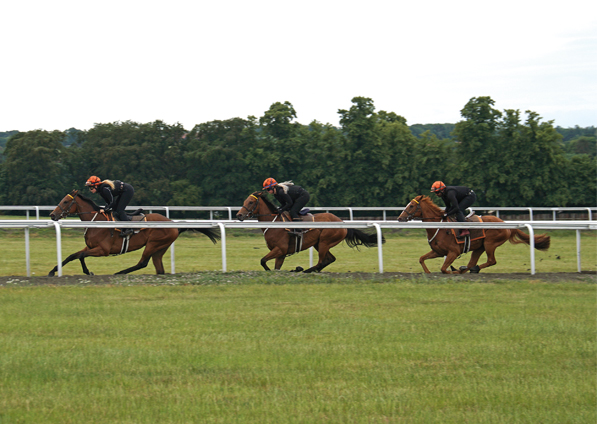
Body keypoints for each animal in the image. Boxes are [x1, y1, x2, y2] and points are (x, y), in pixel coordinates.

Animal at [46, 190, 219, 276]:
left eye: (65, 201)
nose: (52, 215)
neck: (96, 222)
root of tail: (173, 224)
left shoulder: (103, 250)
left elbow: (81, 256)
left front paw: (88, 272)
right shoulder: (90, 247)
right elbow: (72, 256)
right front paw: (52, 271)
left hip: (153, 243)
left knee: (142, 263)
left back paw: (119, 272)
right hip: (161, 247)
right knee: (159, 269)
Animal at [235, 191, 384, 274]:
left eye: (250, 202)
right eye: (244, 201)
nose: (239, 215)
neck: (274, 223)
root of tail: (343, 224)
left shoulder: (280, 248)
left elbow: (262, 260)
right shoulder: (281, 253)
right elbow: (274, 266)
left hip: (324, 241)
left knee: (321, 261)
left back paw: (303, 270)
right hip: (319, 244)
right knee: (329, 259)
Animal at [396, 194, 548, 274]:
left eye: (411, 206)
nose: (399, 218)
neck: (440, 227)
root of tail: (505, 224)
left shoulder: (453, 252)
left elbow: (444, 269)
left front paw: (453, 271)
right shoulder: (438, 252)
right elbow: (422, 259)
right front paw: (428, 273)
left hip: (490, 243)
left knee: (491, 261)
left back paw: (472, 269)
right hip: (479, 247)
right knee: (473, 262)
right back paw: (466, 268)